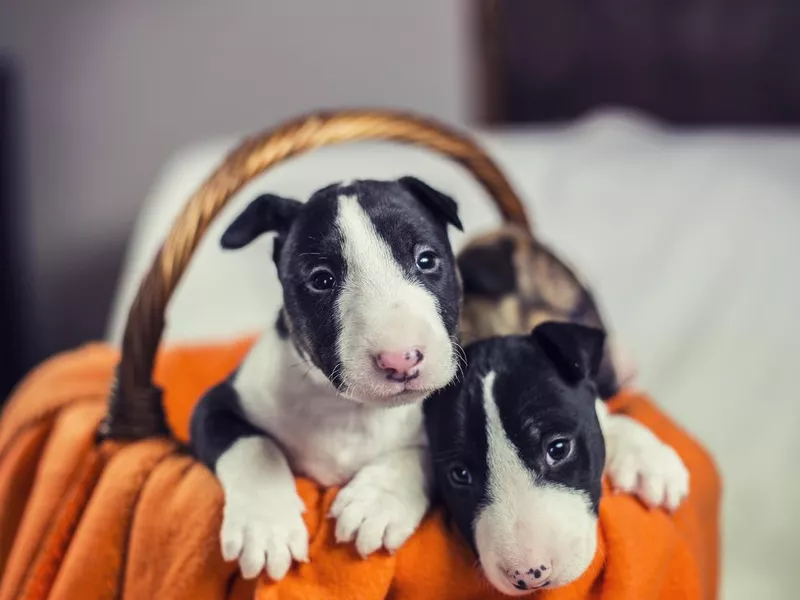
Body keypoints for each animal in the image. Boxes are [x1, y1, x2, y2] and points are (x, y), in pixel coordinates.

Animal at [192, 178, 462, 580]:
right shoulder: (215, 405)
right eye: (322, 280)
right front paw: (266, 527)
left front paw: (376, 502)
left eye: (426, 259)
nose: (400, 359)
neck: (349, 409)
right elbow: (254, 445)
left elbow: (426, 451)